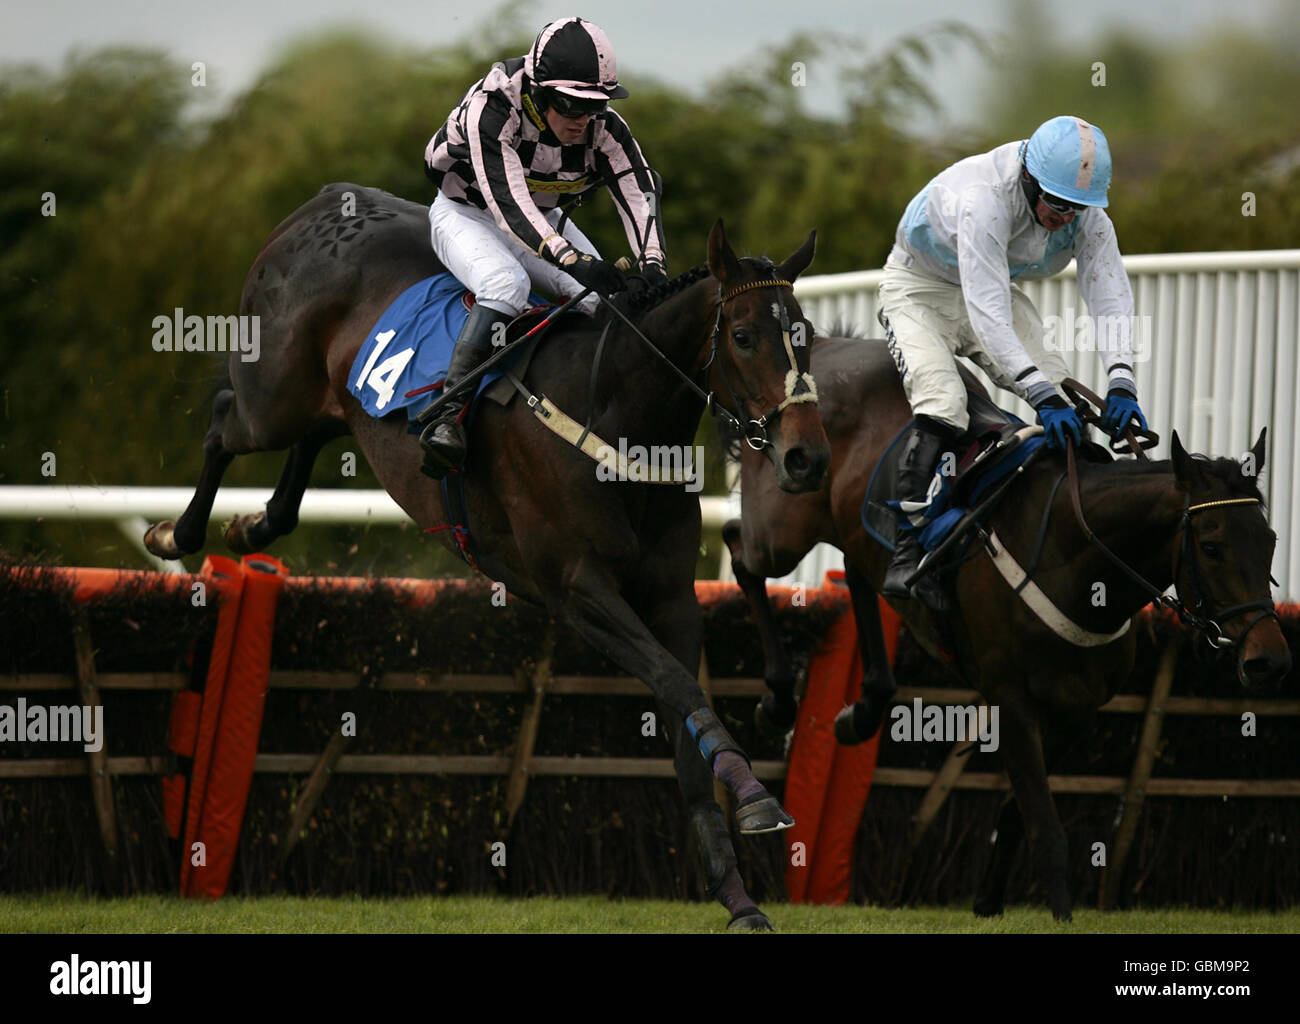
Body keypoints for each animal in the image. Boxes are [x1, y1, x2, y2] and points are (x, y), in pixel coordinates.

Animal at [144, 181, 832, 930]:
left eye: (807, 335)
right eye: (744, 337)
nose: (807, 458)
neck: (613, 411)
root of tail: (331, 199)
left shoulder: (672, 598)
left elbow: (685, 720)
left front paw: (737, 895)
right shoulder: (575, 588)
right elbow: (679, 686)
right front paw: (757, 799)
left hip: (333, 404)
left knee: (309, 443)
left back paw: (254, 527)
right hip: (271, 399)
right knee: (222, 421)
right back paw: (176, 535)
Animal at [728, 335, 1294, 920]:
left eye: (1271, 540)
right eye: (1212, 545)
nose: (1269, 658)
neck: (1076, 561)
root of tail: (820, 342)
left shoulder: (1077, 711)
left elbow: (1015, 814)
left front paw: (988, 902)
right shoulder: (1010, 699)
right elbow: (1043, 821)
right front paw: (1061, 914)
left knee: (859, 578)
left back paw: (860, 713)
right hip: (784, 524)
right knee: (741, 553)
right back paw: (776, 700)